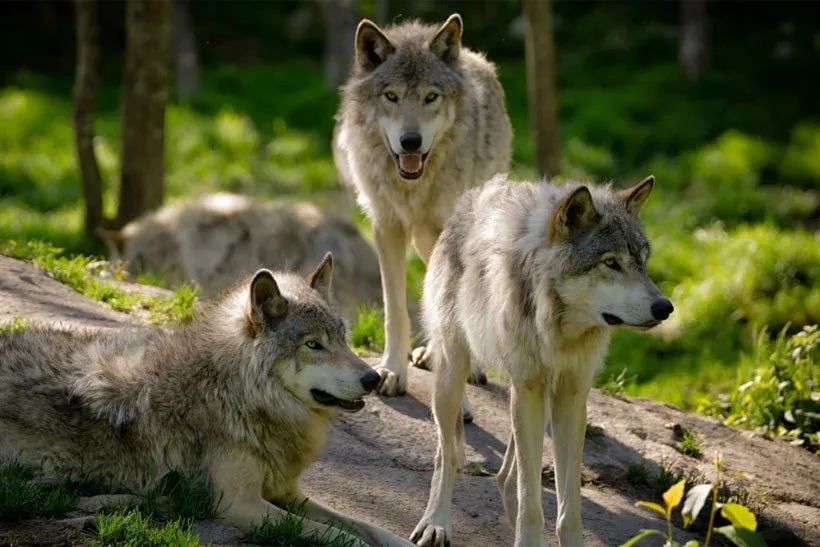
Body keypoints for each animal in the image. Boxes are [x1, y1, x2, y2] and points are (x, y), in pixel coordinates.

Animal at [0, 254, 413, 547]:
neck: (235, 392)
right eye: (313, 345)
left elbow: (368, 527)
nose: (374, 378)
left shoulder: (288, 492)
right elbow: (344, 537)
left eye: (343, 339)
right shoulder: (241, 505)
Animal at [333, 13, 512, 396]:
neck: (413, 186)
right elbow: (395, 311)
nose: (411, 141)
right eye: (391, 96)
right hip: (421, 239)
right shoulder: (386, 226)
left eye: (431, 97)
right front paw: (391, 371)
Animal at [410, 175, 674, 547]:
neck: (557, 327)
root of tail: (470, 199)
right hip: (453, 376)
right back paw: (435, 523)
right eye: (610, 262)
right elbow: (531, 498)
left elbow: (569, 503)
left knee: (507, 474)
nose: (665, 307)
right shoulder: (530, 389)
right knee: (446, 454)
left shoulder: (570, 396)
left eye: (643, 262)